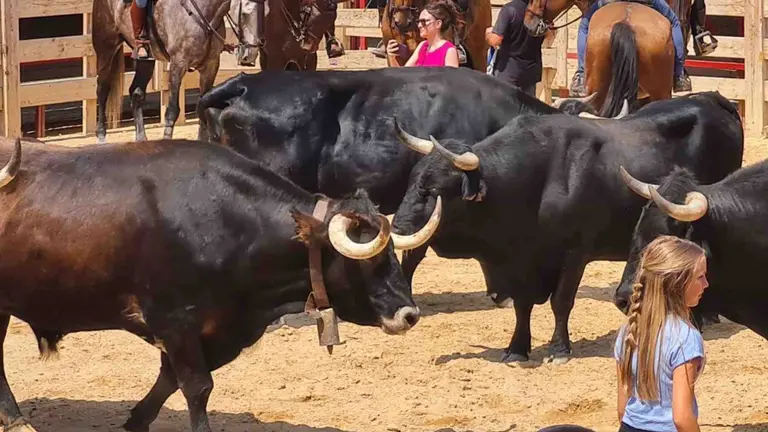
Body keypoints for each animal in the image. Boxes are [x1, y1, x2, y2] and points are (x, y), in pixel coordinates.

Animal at [0, 137, 439, 432]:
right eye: (368, 260)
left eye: (392, 253)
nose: (410, 314)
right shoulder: (175, 321)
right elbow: (197, 387)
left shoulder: (212, 329)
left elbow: (170, 380)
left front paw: (136, 419)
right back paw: (16, 419)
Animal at [390, 91, 744, 364]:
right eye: (412, 180)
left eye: (433, 190)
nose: (399, 227)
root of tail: (710, 99)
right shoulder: (523, 262)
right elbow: (522, 305)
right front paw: (517, 348)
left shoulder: (574, 254)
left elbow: (561, 302)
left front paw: (559, 349)